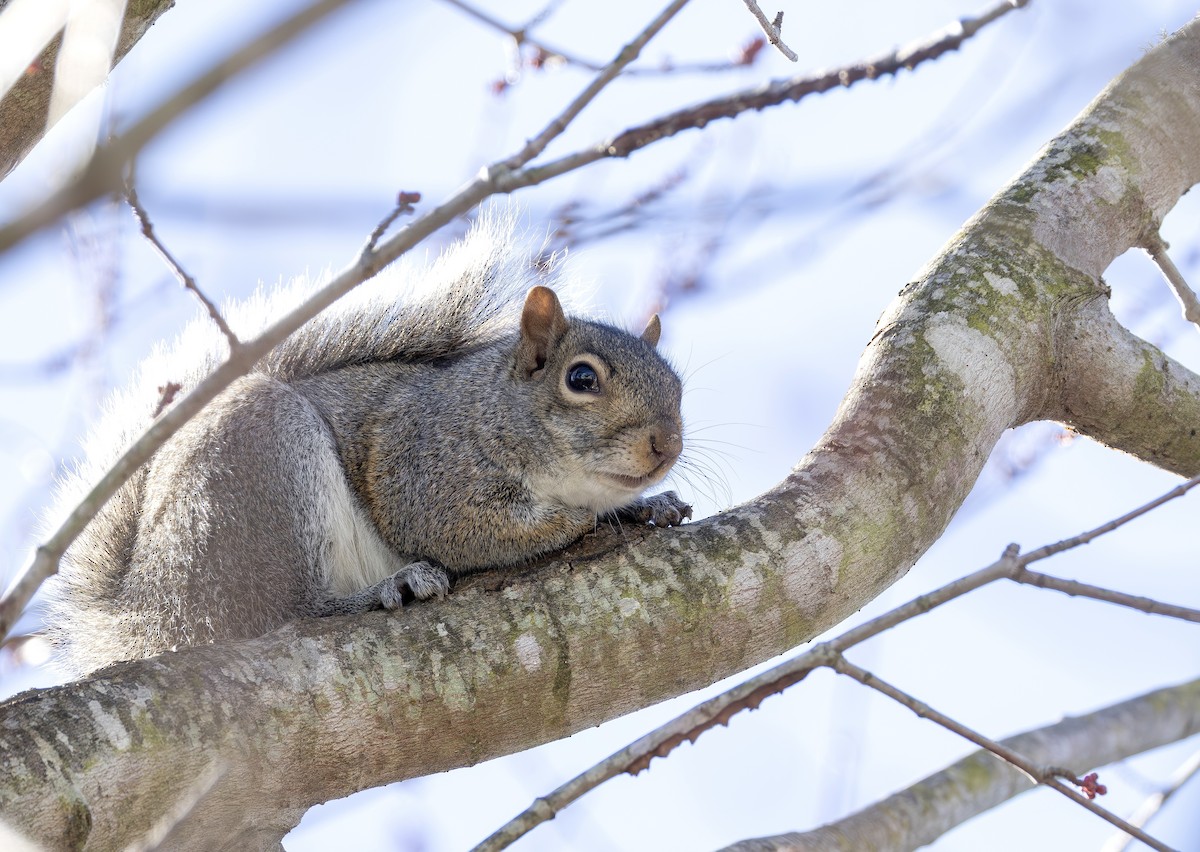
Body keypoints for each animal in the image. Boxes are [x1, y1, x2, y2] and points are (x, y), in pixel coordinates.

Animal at [42, 217, 691, 676]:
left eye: (678, 386)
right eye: (581, 378)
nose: (666, 444)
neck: (492, 408)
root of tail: (150, 615)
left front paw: (647, 506)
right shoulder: (423, 466)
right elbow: (458, 530)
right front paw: (590, 517)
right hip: (262, 467)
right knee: (284, 615)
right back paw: (382, 592)